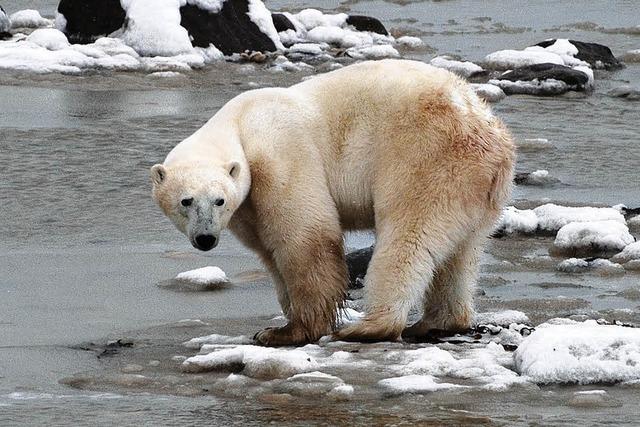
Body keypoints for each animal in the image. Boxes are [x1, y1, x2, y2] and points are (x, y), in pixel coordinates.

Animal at [151, 58, 516, 346]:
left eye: (218, 200)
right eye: (186, 201)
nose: (205, 238)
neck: (239, 122)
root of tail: (492, 138)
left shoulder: (280, 153)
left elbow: (305, 235)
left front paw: (286, 331)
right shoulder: (249, 206)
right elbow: (268, 250)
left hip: (428, 158)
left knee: (407, 237)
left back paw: (369, 327)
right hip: (479, 192)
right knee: (461, 252)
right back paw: (438, 321)